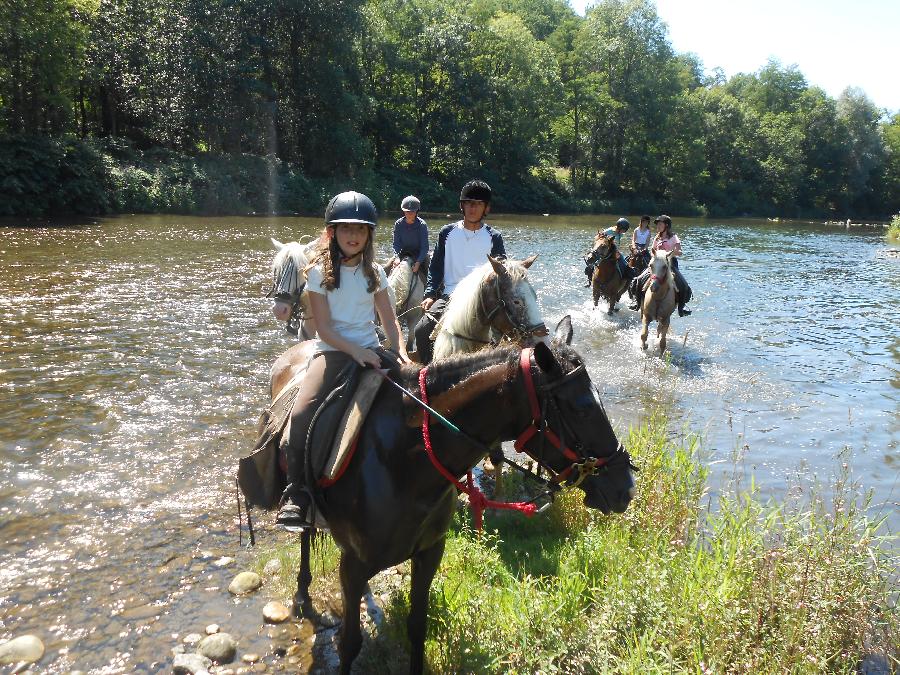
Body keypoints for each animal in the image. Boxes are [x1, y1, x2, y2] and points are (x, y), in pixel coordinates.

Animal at [246, 318, 632, 675]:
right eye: (581, 407)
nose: (625, 486)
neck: (404, 458)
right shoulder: (353, 566)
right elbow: (350, 643)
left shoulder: (429, 552)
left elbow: (417, 628)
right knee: (304, 535)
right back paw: (302, 591)